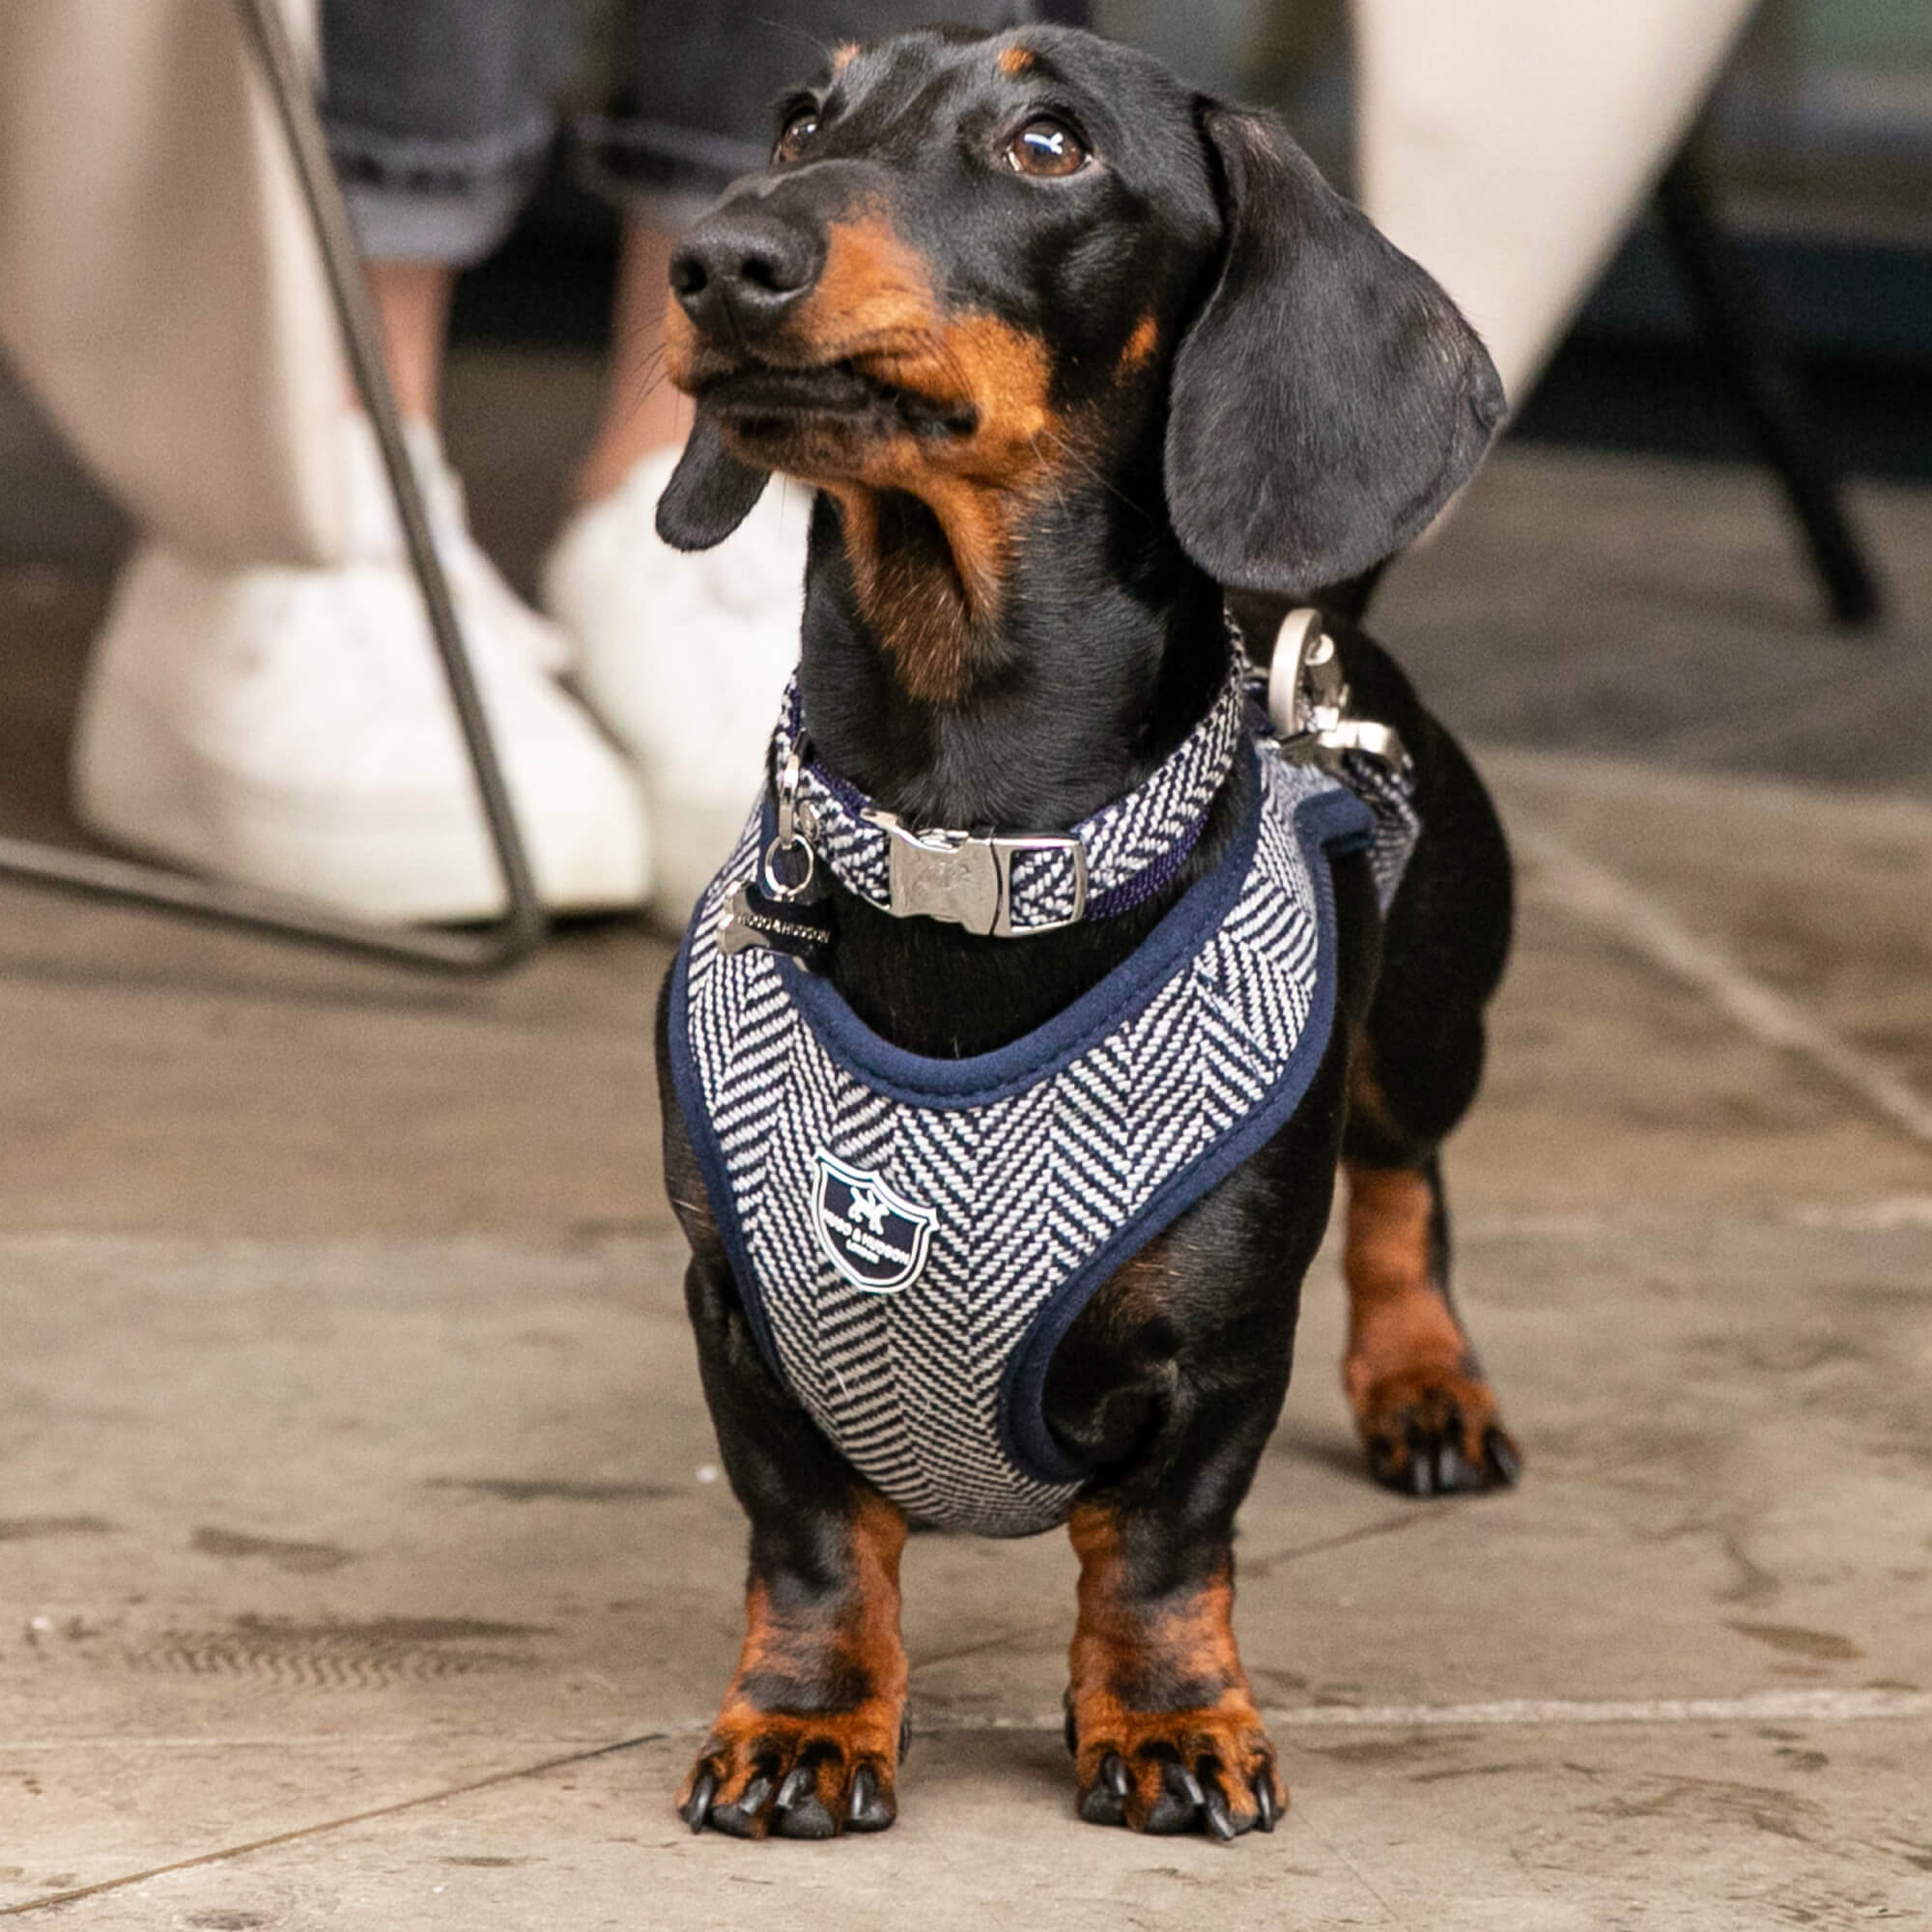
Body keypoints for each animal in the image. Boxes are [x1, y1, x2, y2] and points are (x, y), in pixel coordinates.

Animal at [657, 26, 1515, 1839]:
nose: (716, 261)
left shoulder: (1222, 1354)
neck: (970, 843)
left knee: (1409, 1183)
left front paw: (1174, 1719)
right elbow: (815, 1547)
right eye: (801, 117)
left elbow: (1162, 1556)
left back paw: (1427, 1382)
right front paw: (805, 1722)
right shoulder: (739, 1318)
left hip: (1424, 1036)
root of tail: (1316, 631)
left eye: (1049, 144)